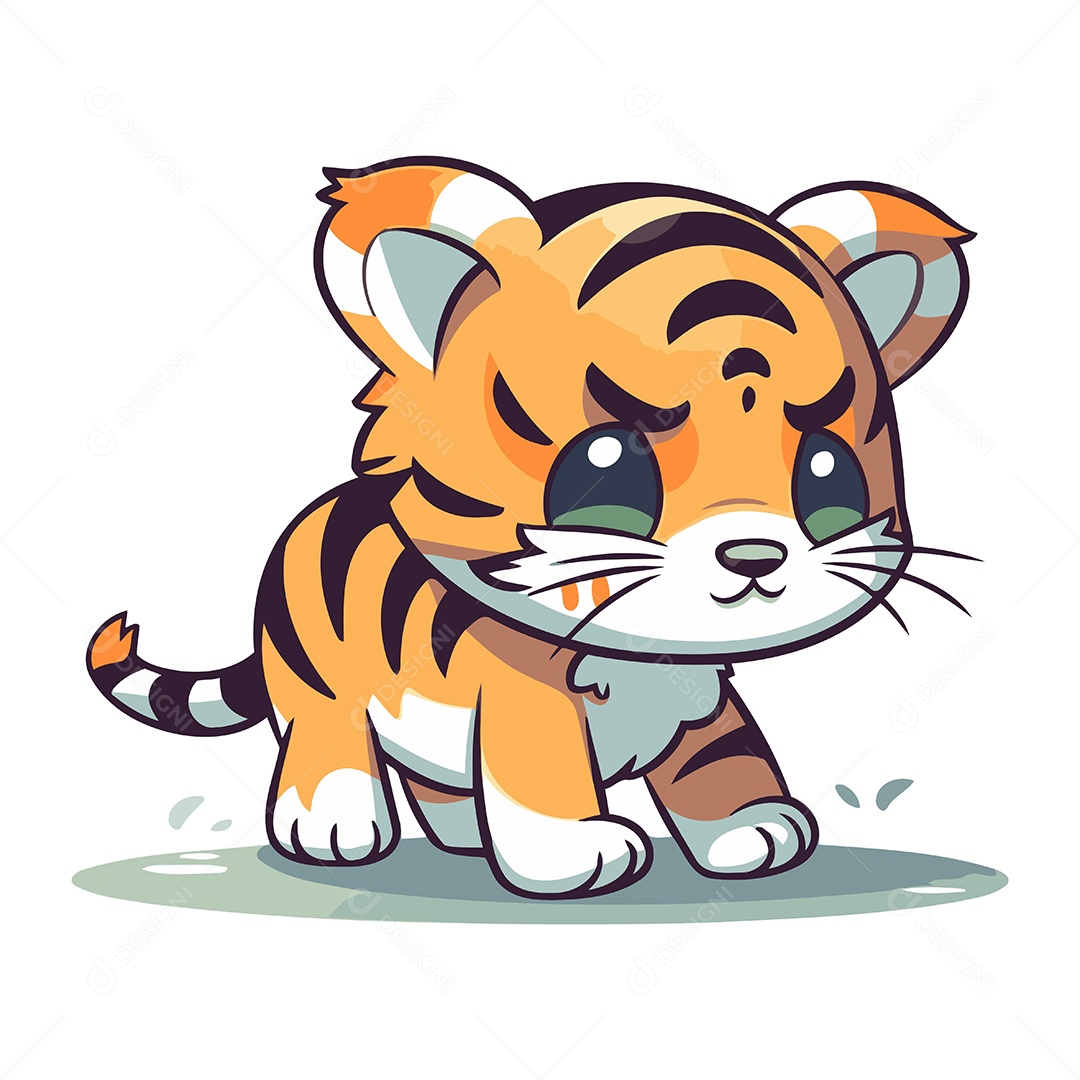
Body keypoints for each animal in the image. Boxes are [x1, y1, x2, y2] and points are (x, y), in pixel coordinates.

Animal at [87, 157, 973, 899]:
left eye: (826, 471)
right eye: (607, 466)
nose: (754, 554)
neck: (637, 657)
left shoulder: (700, 696)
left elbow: (723, 755)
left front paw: (753, 828)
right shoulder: (521, 702)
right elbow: (542, 777)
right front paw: (579, 853)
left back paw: (459, 836)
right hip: (317, 679)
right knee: (326, 737)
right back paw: (333, 825)